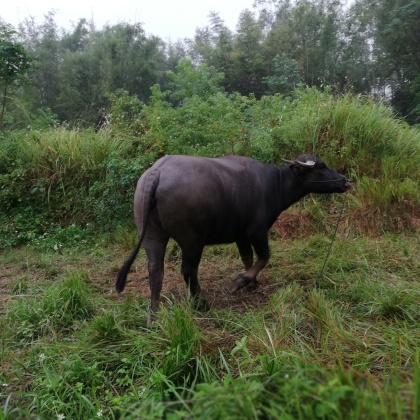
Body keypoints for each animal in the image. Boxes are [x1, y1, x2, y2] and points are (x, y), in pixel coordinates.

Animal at [115, 154, 352, 324]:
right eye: (321, 166)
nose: (345, 181)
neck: (274, 184)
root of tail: (157, 172)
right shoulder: (257, 231)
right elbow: (264, 257)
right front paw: (240, 281)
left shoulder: (241, 235)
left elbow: (248, 258)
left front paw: (252, 283)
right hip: (191, 240)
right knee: (188, 270)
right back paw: (201, 303)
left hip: (151, 235)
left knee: (156, 271)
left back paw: (153, 317)